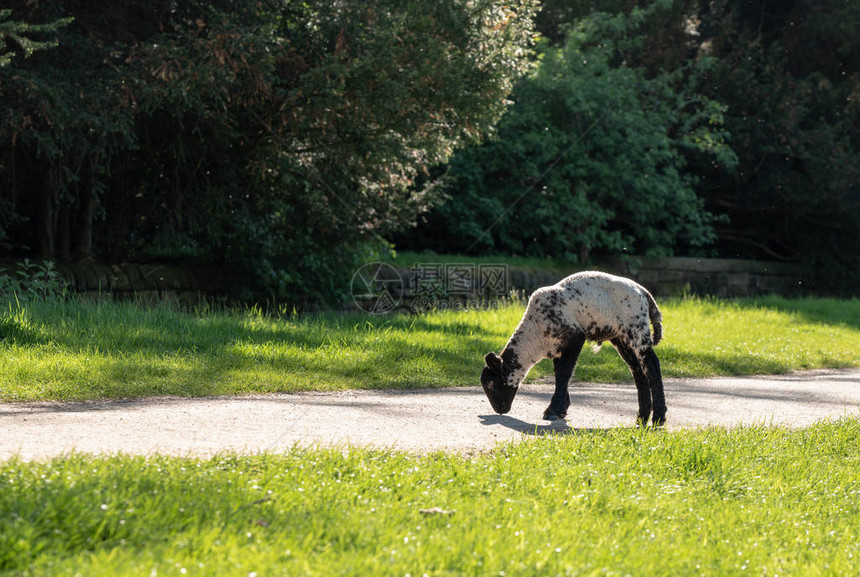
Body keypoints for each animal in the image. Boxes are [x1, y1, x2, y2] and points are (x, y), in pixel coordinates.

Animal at [484, 268, 664, 424]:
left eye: (492, 385)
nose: (500, 410)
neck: (535, 333)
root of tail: (643, 292)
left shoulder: (575, 338)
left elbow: (565, 372)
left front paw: (552, 410)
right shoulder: (557, 346)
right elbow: (559, 373)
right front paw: (561, 409)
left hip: (636, 328)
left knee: (651, 365)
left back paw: (658, 418)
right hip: (620, 337)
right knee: (637, 370)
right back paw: (642, 417)